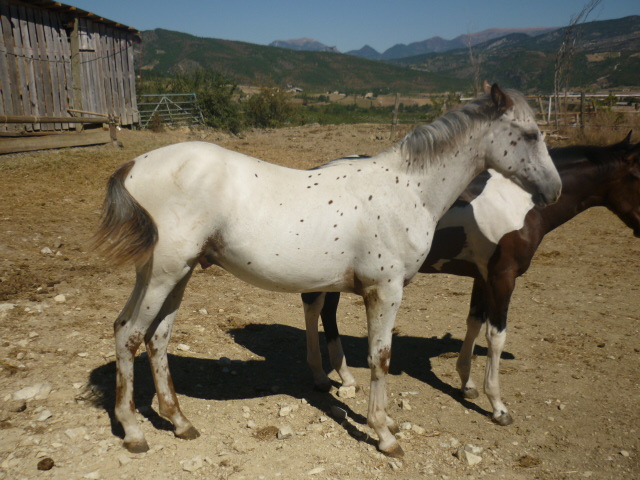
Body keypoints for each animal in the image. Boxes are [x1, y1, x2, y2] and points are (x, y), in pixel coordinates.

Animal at [95, 84, 560, 456]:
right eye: (530, 135)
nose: (553, 191)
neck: (408, 189)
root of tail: (135, 165)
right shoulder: (385, 290)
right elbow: (380, 357)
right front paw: (384, 435)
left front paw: (383, 419)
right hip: (165, 273)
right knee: (131, 335)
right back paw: (134, 431)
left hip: (173, 274)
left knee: (152, 337)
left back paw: (179, 422)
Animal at [300, 130, 640, 424]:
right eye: (637, 176)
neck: (522, 205)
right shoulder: (504, 277)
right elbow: (496, 336)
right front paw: (498, 406)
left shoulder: (484, 277)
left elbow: (474, 321)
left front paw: (466, 383)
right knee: (318, 309)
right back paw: (327, 376)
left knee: (323, 311)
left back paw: (342, 376)